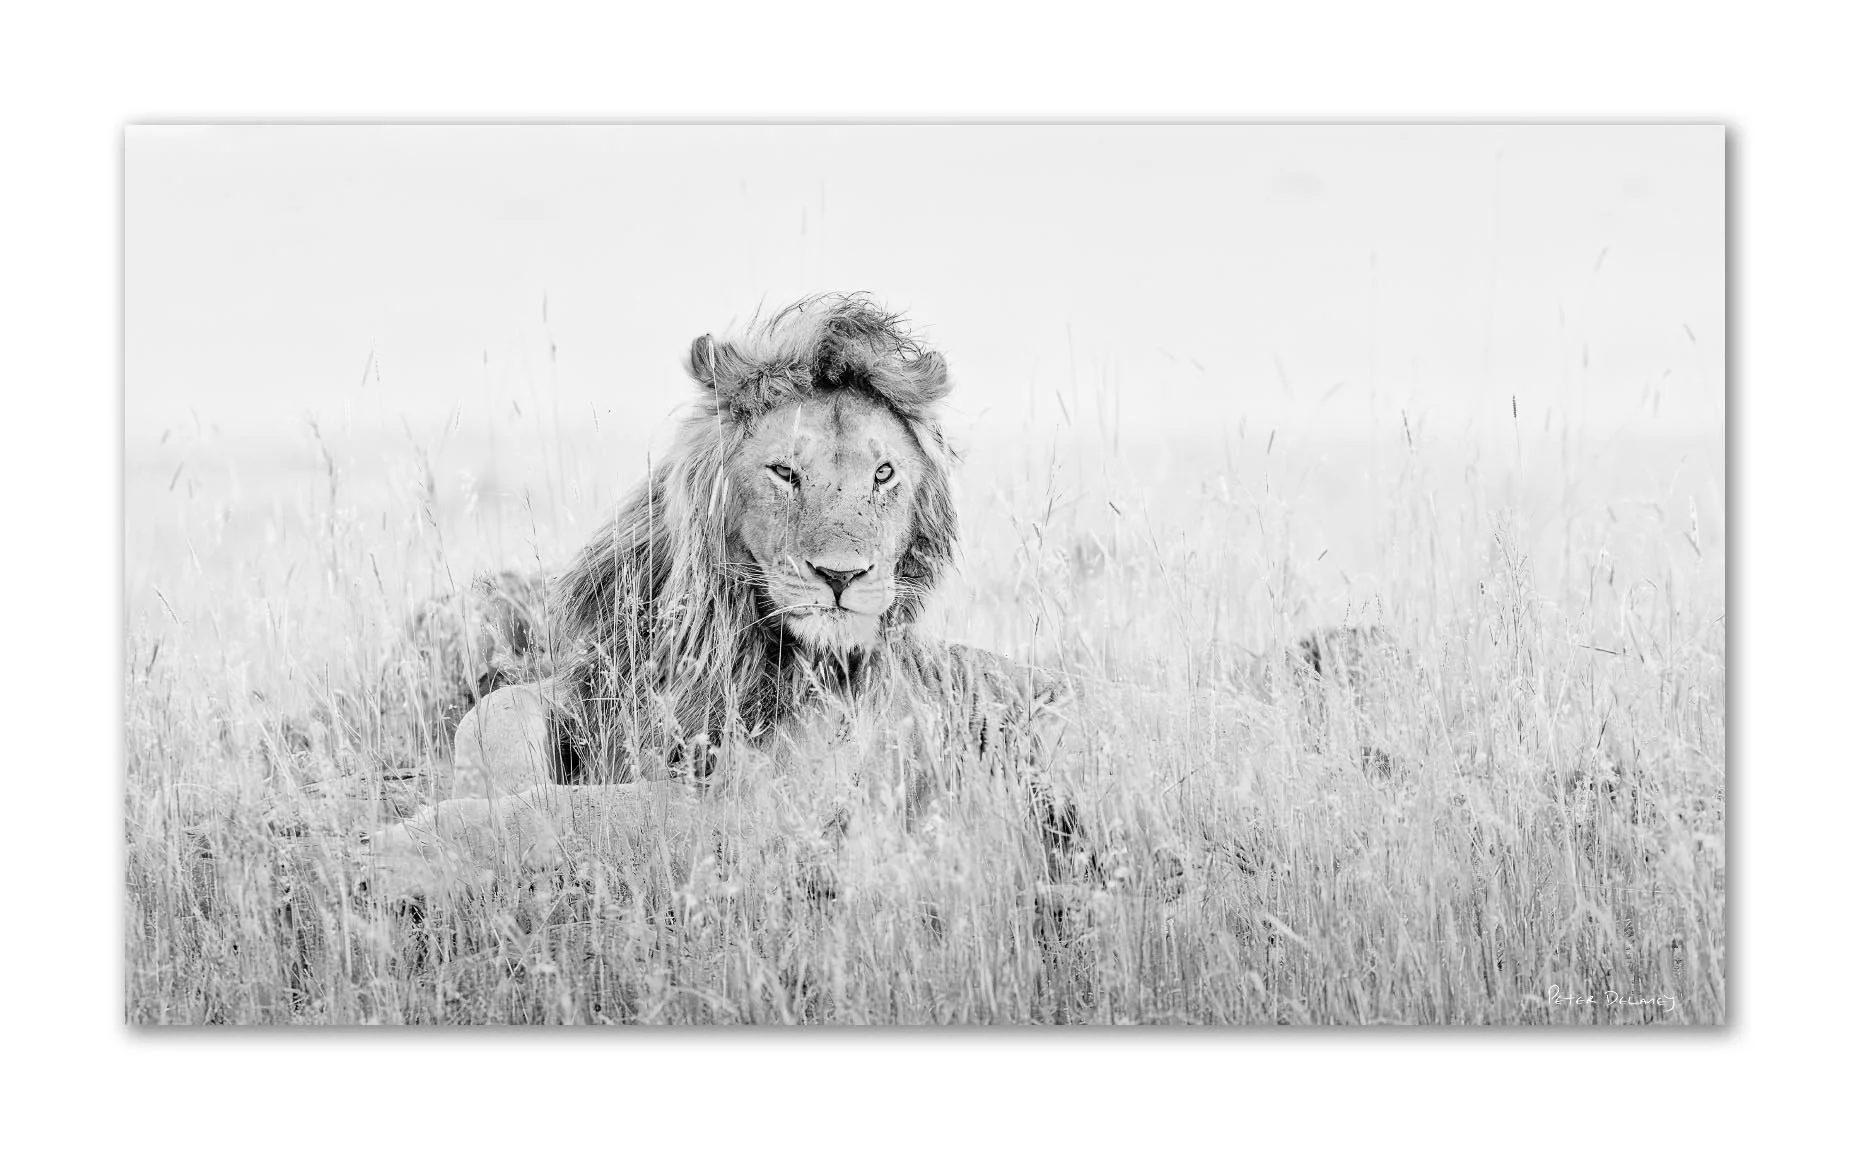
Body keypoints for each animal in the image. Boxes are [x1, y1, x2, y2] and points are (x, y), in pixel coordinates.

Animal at [366, 294, 1086, 903]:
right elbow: (494, 712)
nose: (843, 576)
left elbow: (592, 811)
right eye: (785, 472)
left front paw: (409, 851)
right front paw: (485, 787)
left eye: (884, 474)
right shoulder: (604, 690)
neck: (724, 629)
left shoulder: (765, 806)